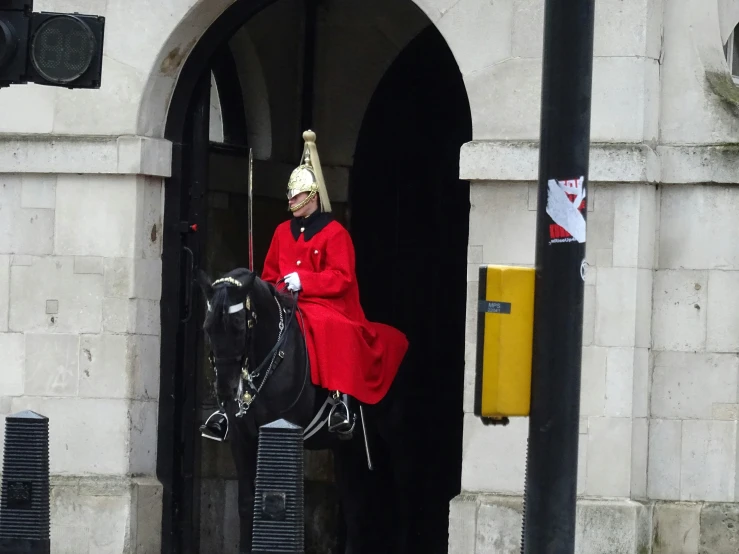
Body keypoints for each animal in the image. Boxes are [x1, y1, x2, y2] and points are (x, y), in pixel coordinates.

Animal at [197, 266, 414, 548]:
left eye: (237, 326)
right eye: (207, 327)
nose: (225, 391)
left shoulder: (287, 429)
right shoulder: (240, 436)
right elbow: (247, 503)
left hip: (396, 438)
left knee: (402, 494)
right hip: (348, 448)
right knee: (355, 508)